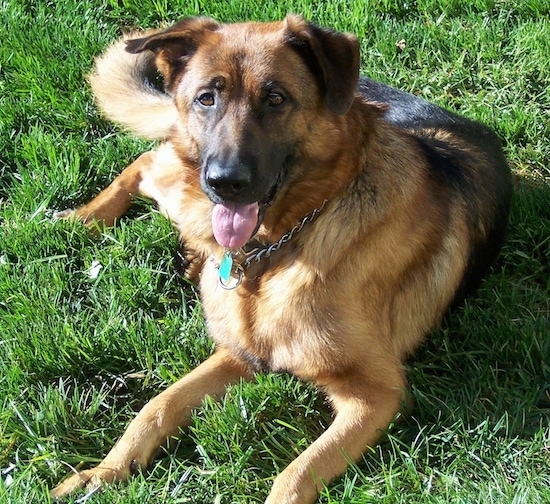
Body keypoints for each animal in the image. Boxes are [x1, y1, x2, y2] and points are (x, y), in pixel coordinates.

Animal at [49, 15, 516, 504]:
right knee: (147, 160)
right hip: (187, 191)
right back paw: (84, 218)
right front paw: (104, 471)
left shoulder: (374, 393)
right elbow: (158, 405)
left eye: (276, 98)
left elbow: (292, 475)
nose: (225, 183)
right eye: (206, 98)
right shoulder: (240, 354)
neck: (282, 246)